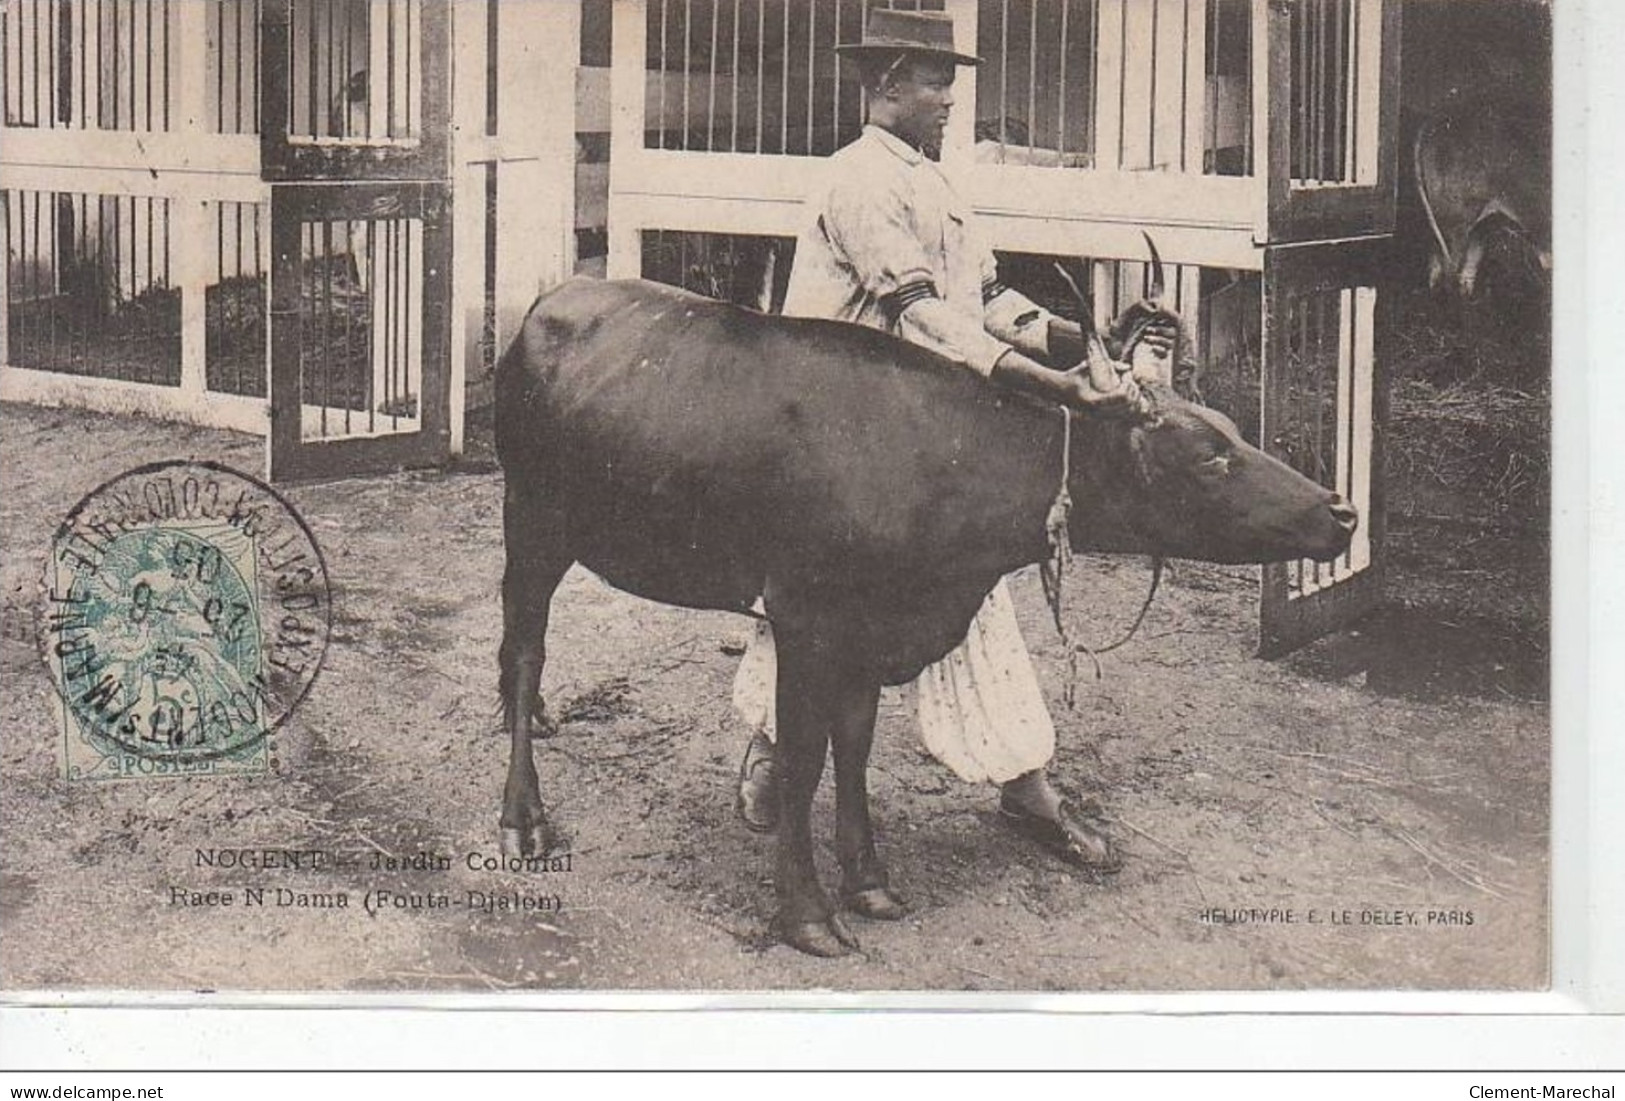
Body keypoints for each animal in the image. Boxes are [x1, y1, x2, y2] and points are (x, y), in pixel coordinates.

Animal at [494, 280, 1358, 961]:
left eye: (1234, 432)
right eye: (1208, 456)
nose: (1342, 510)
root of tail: (550, 299)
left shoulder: (867, 635)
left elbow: (852, 750)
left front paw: (870, 881)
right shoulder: (807, 620)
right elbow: (804, 762)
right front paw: (807, 914)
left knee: (514, 651)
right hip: (533, 521)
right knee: (527, 646)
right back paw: (522, 817)